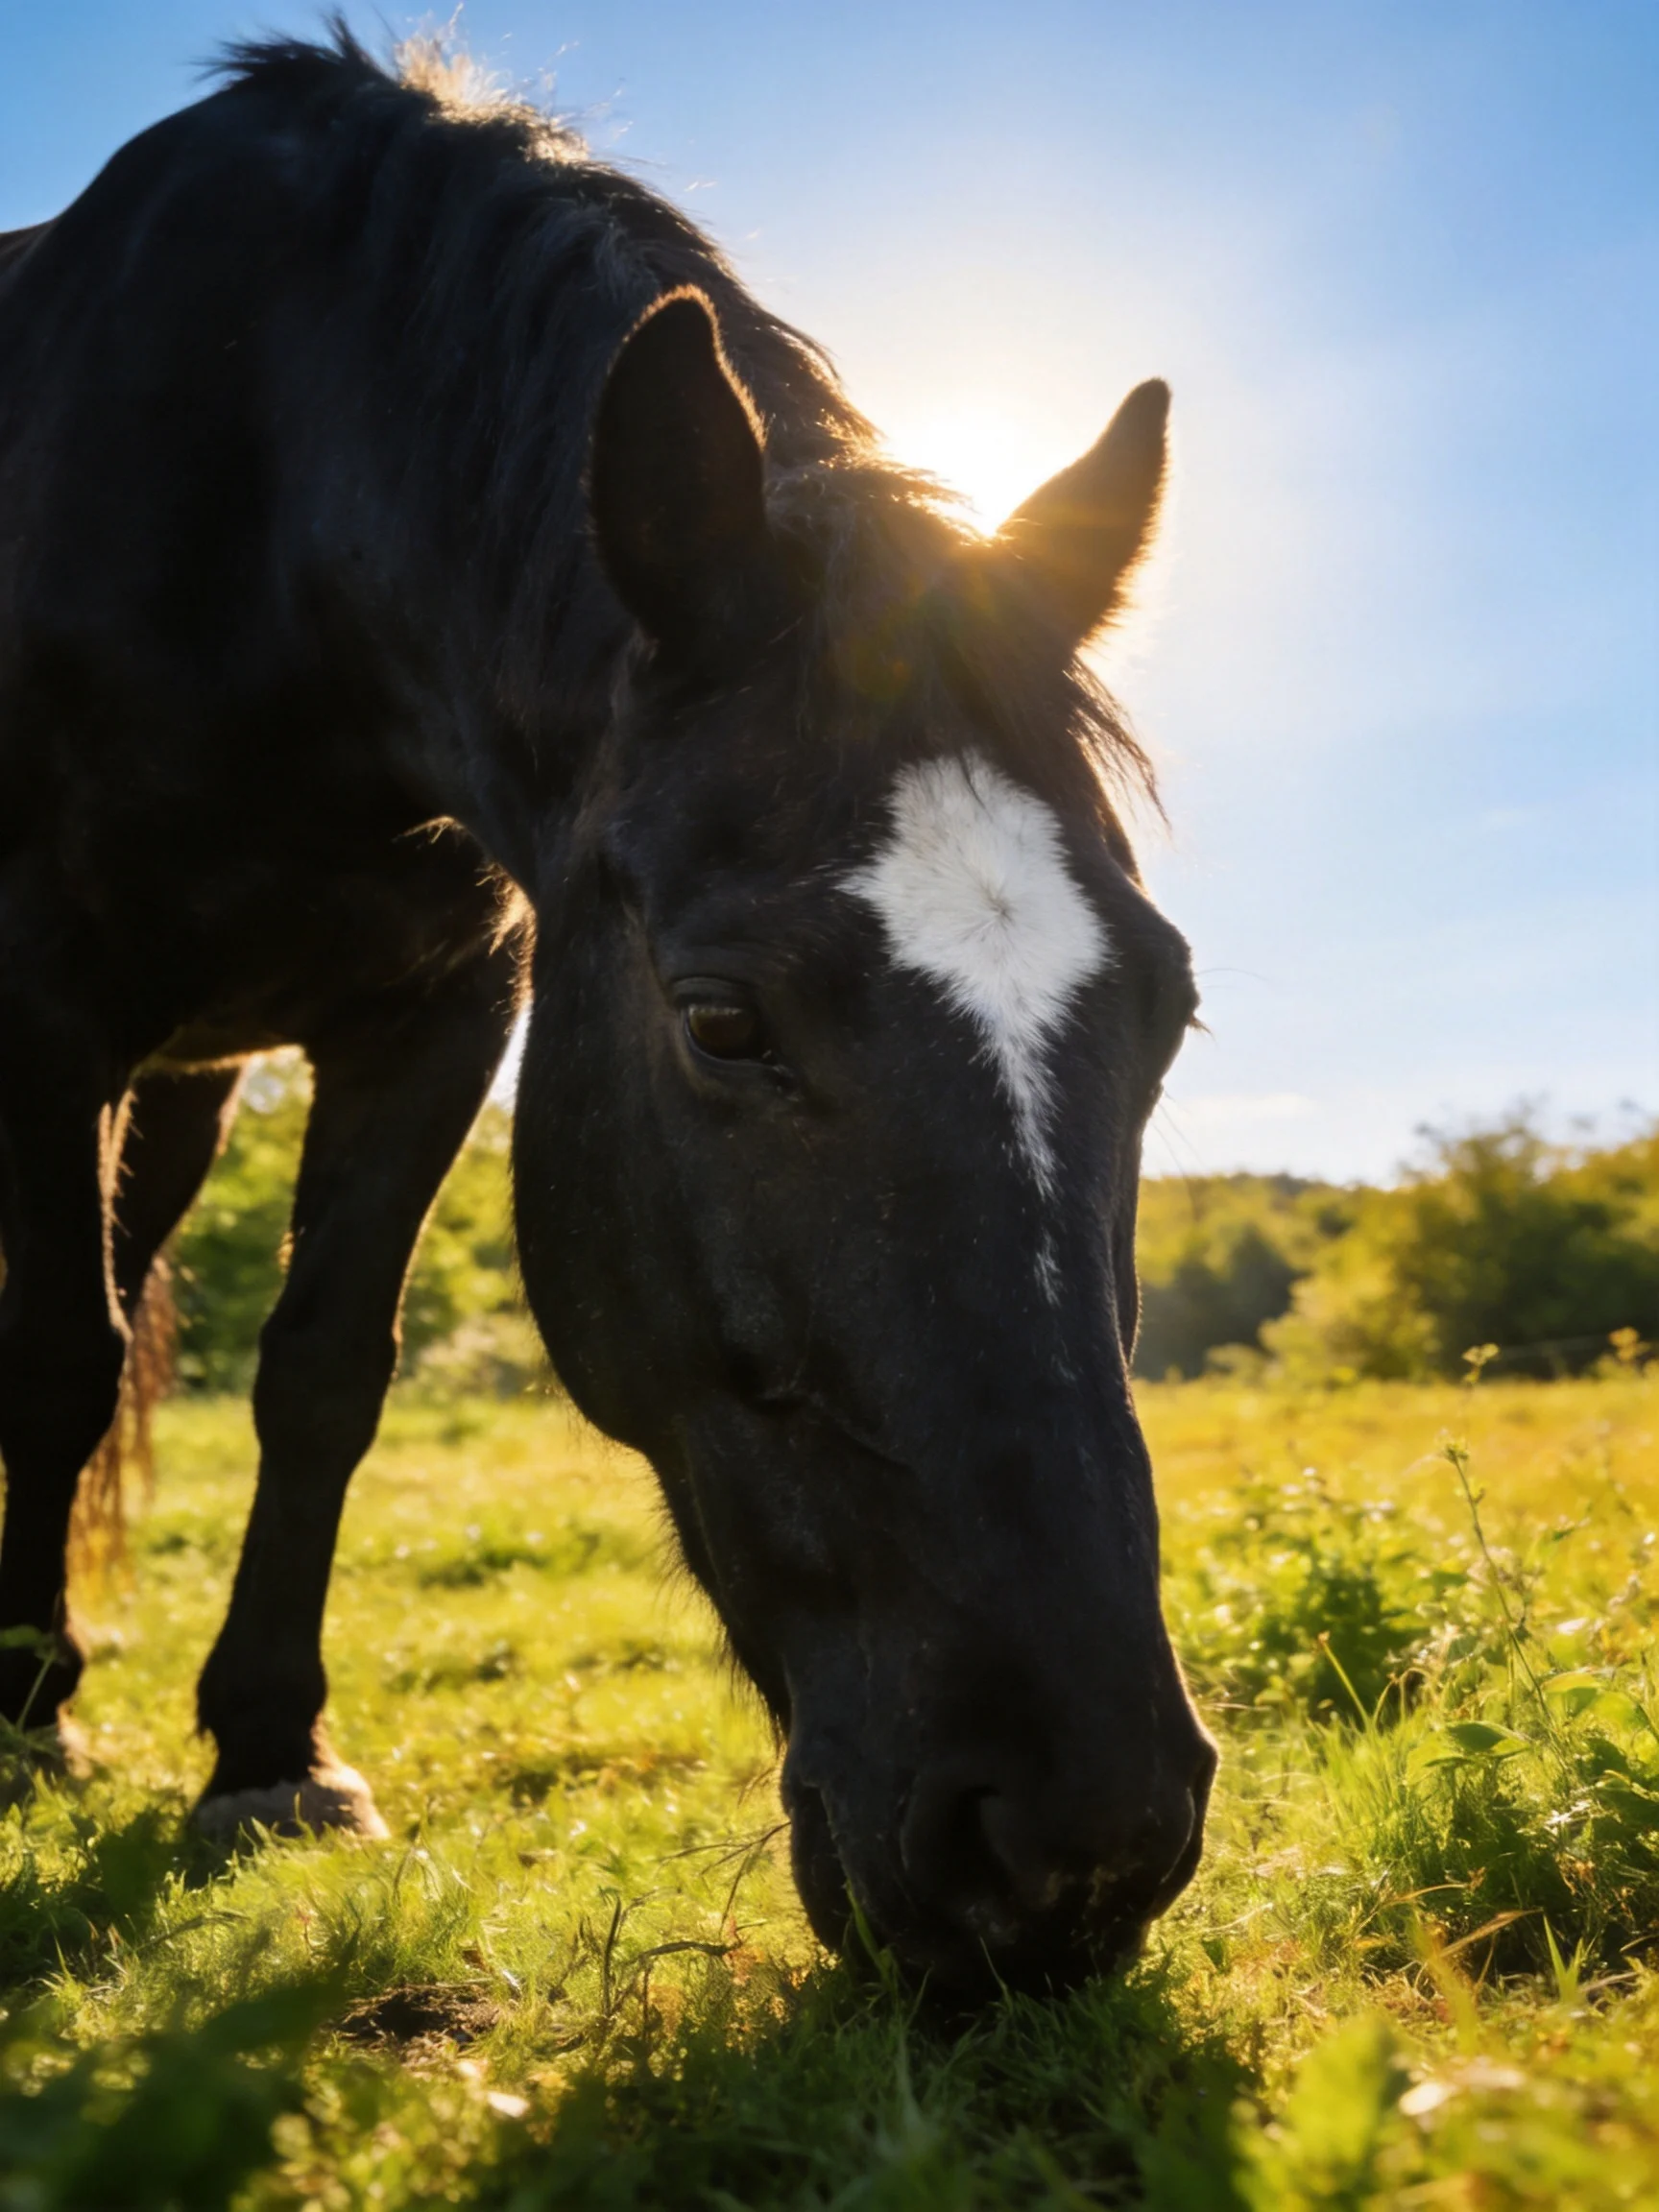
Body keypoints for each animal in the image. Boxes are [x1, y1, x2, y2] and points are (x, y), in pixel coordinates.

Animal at [0, 28, 1213, 1995]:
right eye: (719, 1021)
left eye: (1167, 1011)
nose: (1080, 1842)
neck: (253, 485)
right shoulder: (47, 1002)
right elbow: (54, 1360)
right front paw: (30, 1716)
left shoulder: (438, 1013)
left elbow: (322, 1370)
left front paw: (269, 1755)